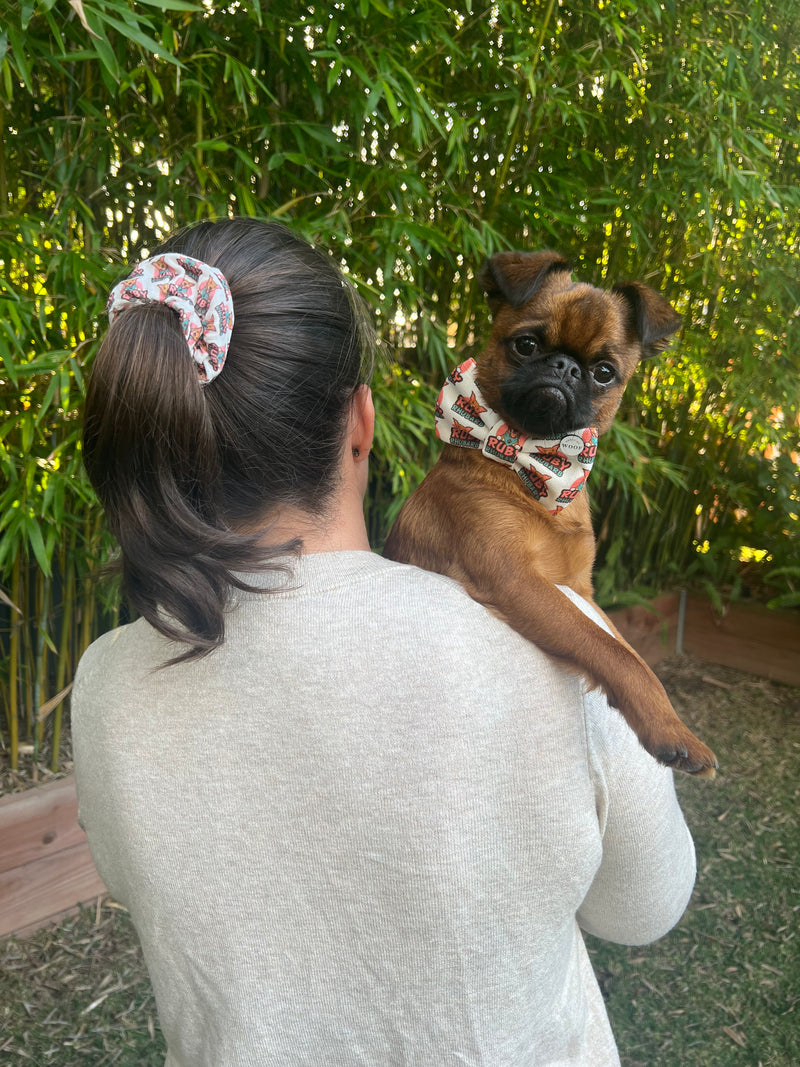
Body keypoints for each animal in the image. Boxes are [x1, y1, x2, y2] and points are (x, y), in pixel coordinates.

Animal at [386, 249, 716, 776]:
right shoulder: (517, 579)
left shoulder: (581, 589)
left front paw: (672, 723)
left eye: (604, 373)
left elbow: (631, 653)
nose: (564, 367)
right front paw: (670, 733)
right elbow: (613, 653)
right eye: (526, 345)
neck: (531, 462)